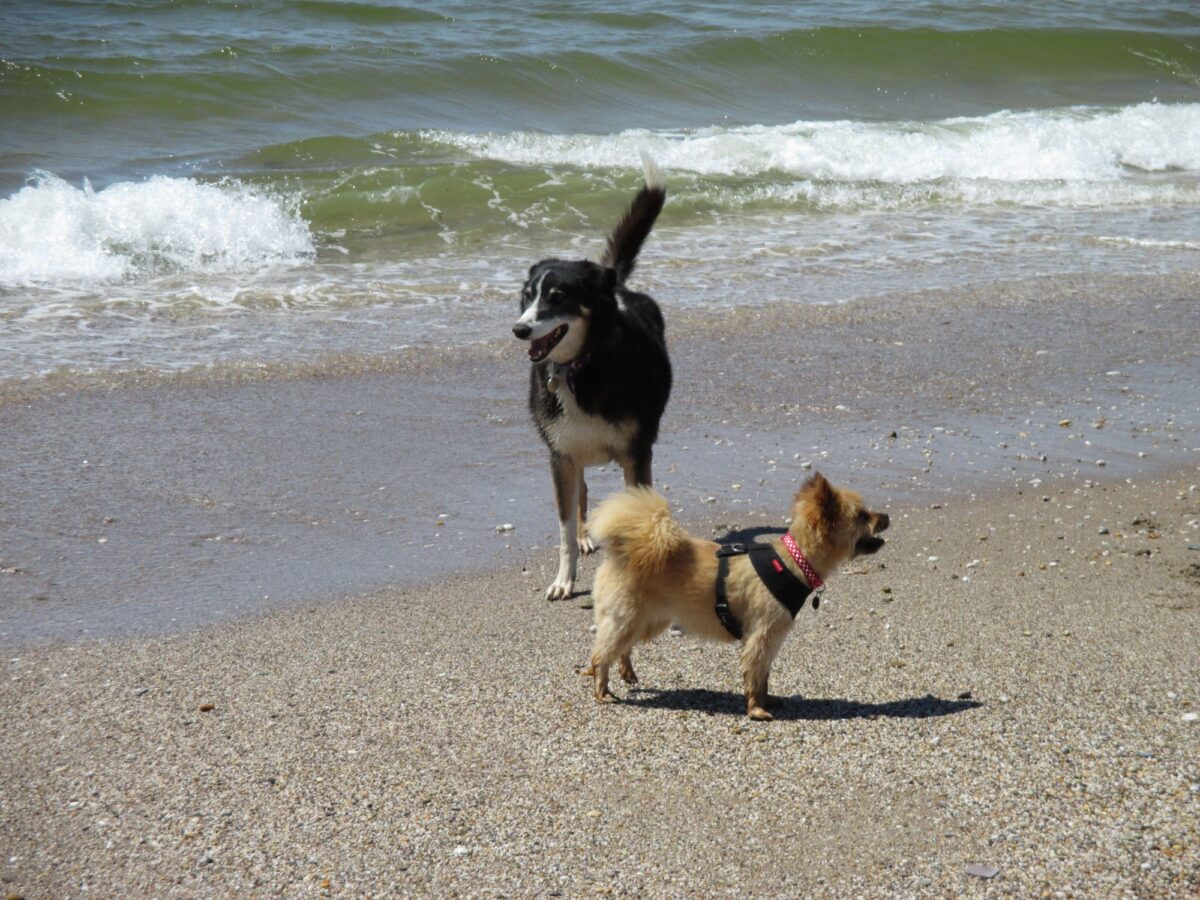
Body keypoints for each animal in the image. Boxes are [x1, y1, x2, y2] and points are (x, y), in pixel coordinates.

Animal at [511, 158, 672, 602]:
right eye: (527, 297)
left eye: (557, 297)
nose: (519, 329)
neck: (580, 367)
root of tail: (616, 283)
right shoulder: (561, 456)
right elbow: (565, 527)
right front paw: (564, 579)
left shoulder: (637, 454)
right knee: (581, 495)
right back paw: (585, 536)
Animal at [585, 475, 888, 724]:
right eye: (862, 515)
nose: (886, 516)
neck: (794, 561)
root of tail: (621, 550)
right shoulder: (762, 637)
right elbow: (755, 673)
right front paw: (756, 709)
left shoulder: (770, 639)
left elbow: (764, 675)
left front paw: (767, 699)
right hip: (629, 619)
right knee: (601, 653)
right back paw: (602, 689)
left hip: (648, 621)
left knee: (619, 647)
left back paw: (624, 673)